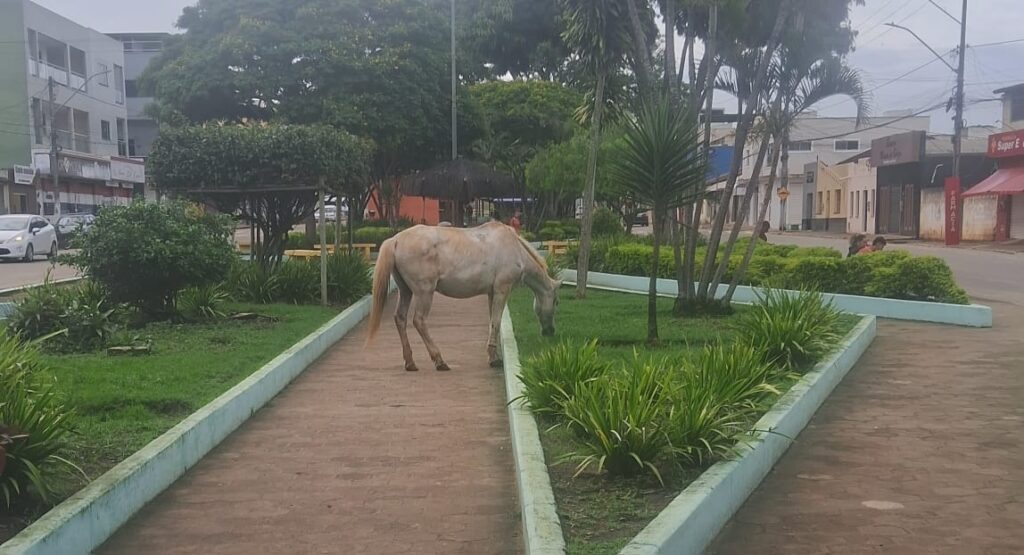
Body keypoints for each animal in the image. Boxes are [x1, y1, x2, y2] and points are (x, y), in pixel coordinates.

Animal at [367, 222, 560, 372]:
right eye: (556, 302)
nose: (550, 331)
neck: (515, 249)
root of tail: (396, 240)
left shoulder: (492, 292)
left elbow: (492, 321)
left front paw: (493, 356)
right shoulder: (502, 290)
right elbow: (496, 321)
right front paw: (494, 359)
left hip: (406, 291)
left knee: (400, 318)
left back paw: (410, 362)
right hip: (424, 292)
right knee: (419, 321)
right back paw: (439, 360)